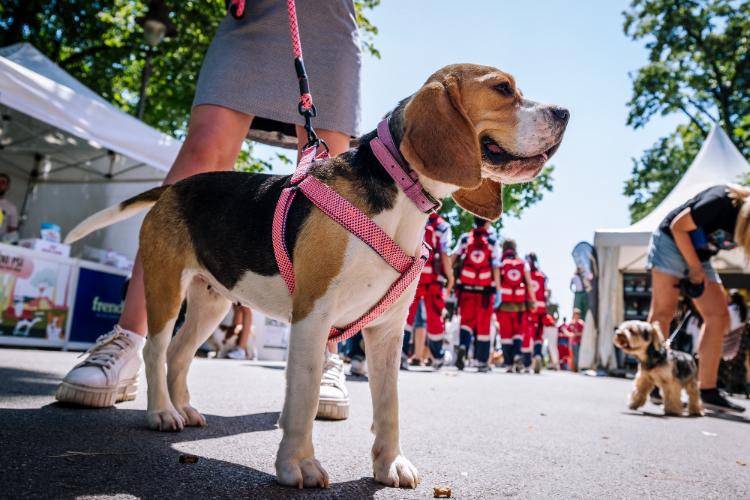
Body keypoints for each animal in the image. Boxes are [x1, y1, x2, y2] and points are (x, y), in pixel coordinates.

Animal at [66, 62, 568, 488]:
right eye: (502, 89)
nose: (565, 112)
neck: (399, 194)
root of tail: (173, 188)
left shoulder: (388, 332)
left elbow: (389, 404)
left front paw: (390, 464)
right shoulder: (312, 315)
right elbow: (304, 397)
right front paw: (298, 466)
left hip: (212, 302)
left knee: (180, 353)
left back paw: (183, 407)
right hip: (165, 287)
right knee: (155, 350)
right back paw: (161, 413)